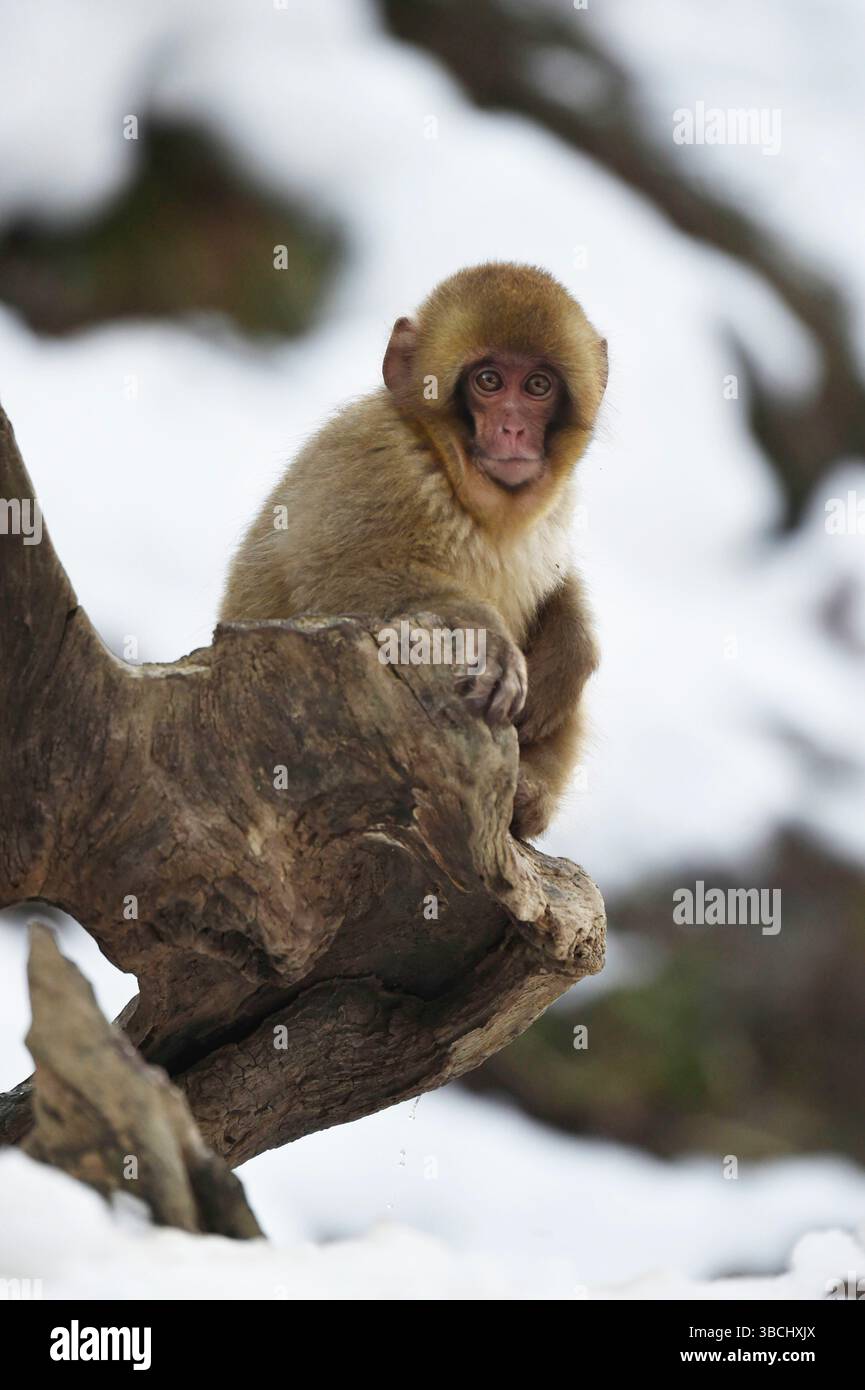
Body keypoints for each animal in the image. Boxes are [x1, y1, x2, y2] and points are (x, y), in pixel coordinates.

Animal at [220, 262, 608, 838]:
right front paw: (488, 641)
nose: (514, 427)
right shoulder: (371, 460)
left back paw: (529, 797)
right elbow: (333, 580)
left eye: (538, 386)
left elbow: (556, 582)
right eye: (488, 381)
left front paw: (573, 647)